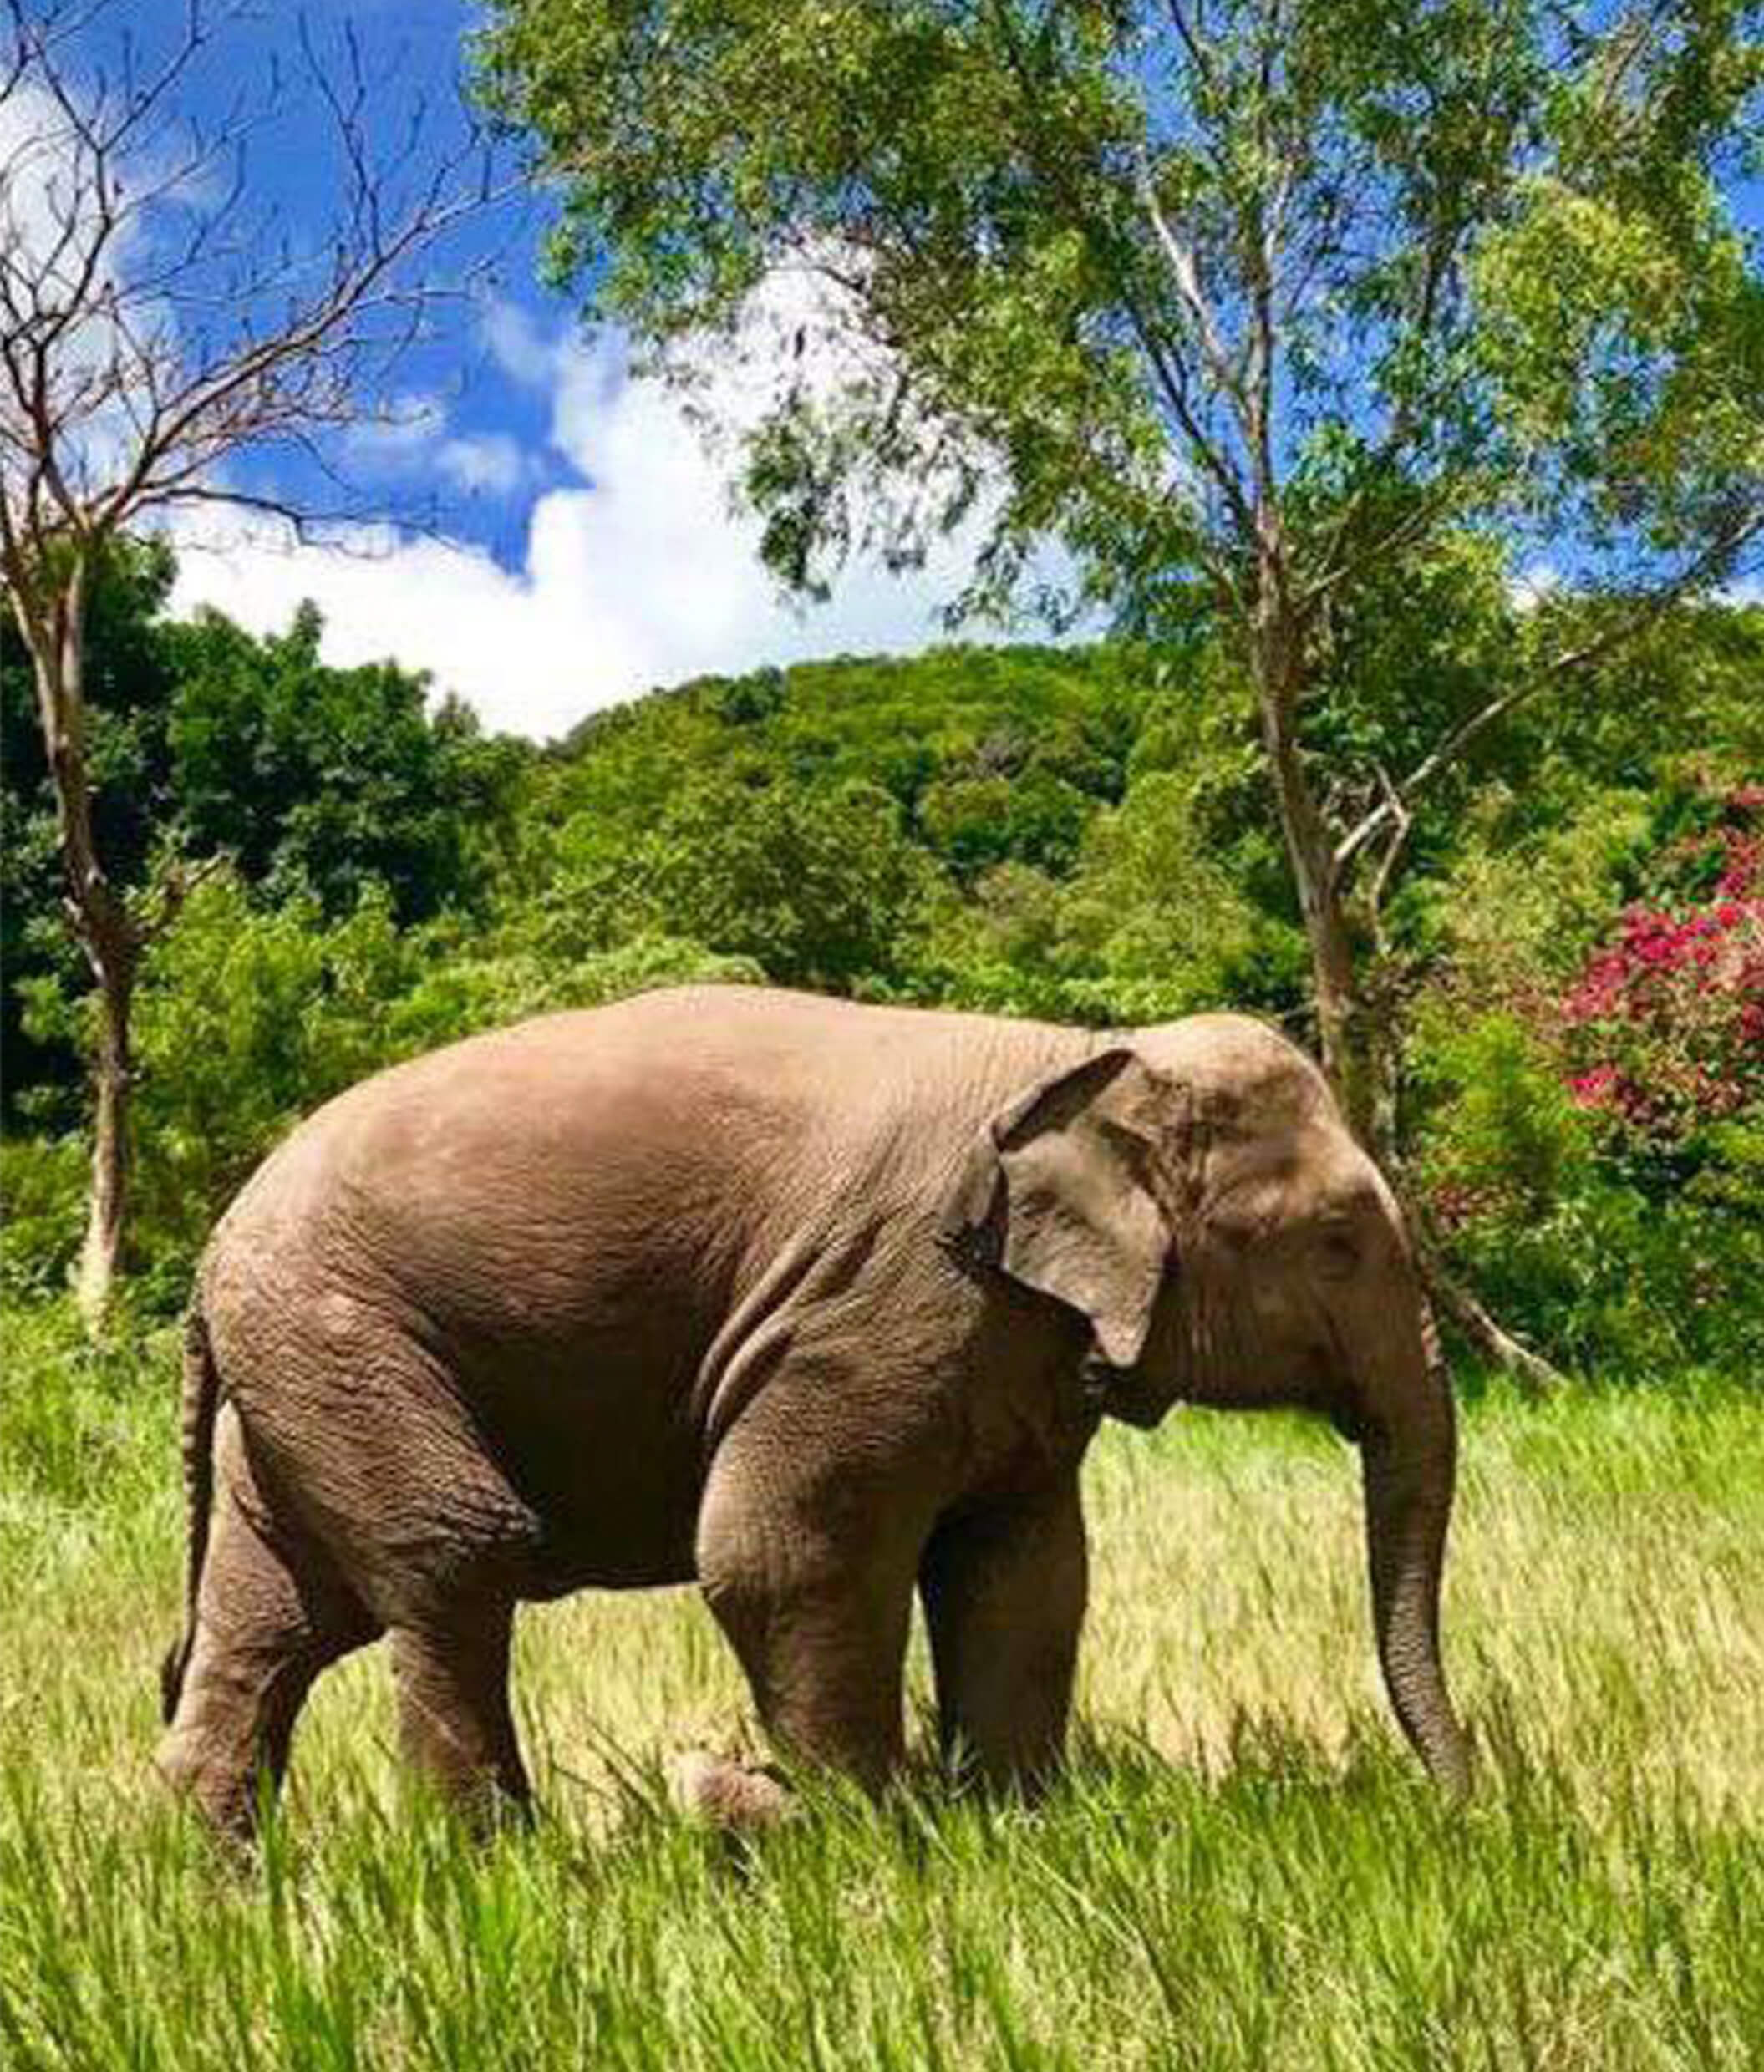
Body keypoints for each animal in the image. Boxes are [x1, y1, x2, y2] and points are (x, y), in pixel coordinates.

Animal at [156, 983, 1470, 1837]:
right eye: (1338, 1241)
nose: (1468, 1805)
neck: (1082, 1056)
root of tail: (213, 1257)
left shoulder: (1012, 1342)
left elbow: (1025, 1571)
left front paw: (1014, 1831)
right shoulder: (874, 1314)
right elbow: (783, 1556)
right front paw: (863, 1840)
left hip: (298, 1384)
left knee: (276, 1620)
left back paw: (223, 1890)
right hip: (346, 1339)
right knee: (454, 1561)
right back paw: (491, 1866)